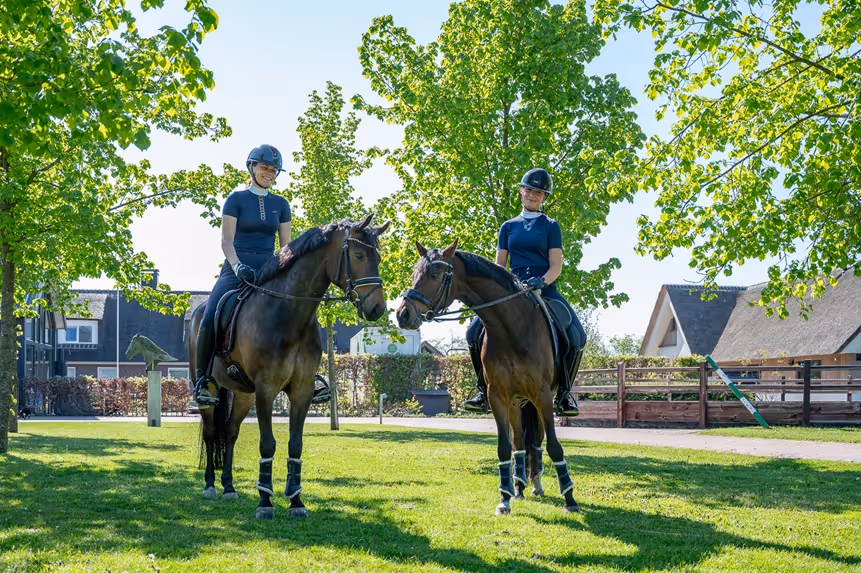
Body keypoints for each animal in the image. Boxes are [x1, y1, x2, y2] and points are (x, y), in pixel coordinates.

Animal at [187, 215, 389, 519]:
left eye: (378, 256)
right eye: (358, 255)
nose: (377, 308)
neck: (289, 314)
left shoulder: (301, 390)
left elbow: (295, 444)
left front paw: (296, 501)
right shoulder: (266, 389)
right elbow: (267, 443)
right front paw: (265, 502)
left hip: (242, 393)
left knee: (231, 433)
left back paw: (229, 487)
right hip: (209, 388)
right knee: (211, 432)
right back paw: (210, 485)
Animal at [396, 240, 580, 515]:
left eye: (435, 274)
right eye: (413, 274)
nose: (402, 315)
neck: (511, 328)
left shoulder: (543, 394)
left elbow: (554, 446)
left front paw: (570, 499)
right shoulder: (497, 396)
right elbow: (505, 446)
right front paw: (504, 498)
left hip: (538, 399)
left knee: (537, 440)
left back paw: (536, 485)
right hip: (517, 401)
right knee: (521, 442)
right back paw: (520, 486)